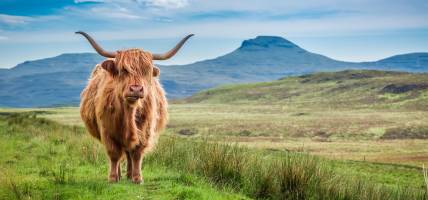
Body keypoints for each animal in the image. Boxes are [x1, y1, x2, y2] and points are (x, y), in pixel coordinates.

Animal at [77, 30, 194, 183]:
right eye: (123, 70)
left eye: (147, 71)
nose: (136, 89)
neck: (129, 113)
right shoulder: (107, 131)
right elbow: (114, 154)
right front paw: (113, 178)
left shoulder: (145, 131)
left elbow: (137, 154)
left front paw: (137, 178)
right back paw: (120, 175)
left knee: (128, 153)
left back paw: (129, 174)